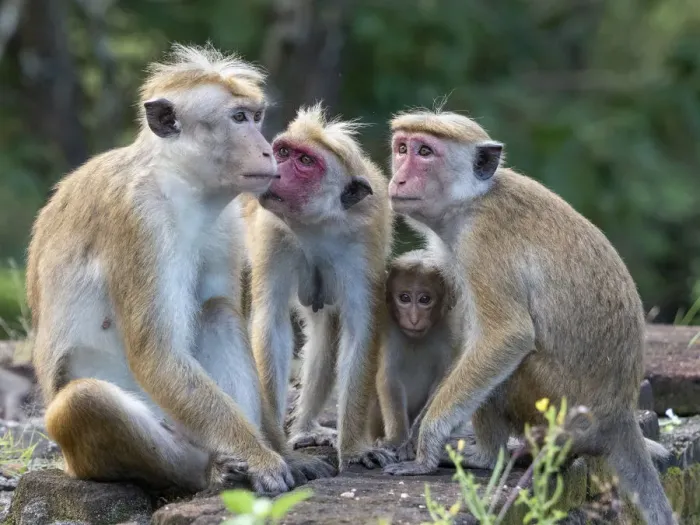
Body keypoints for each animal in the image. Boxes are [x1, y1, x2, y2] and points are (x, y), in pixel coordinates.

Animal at [25, 43, 333, 495]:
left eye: (255, 116)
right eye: (237, 118)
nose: (266, 149)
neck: (180, 183)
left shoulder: (226, 225)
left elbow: (220, 308)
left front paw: (281, 452)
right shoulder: (139, 220)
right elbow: (156, 352)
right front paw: (261, 457)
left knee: (219, 313)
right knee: (84, 402)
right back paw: (209, 470)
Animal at [240, 103, 397, 469]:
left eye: (305, 161)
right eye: (283, 152)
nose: (274, 167)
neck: (314, 225)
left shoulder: (363, 240)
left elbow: (359, 330)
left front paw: (354, 448)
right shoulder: (273, 233)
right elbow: (271, 325)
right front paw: (274, 445)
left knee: (328, 332)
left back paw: (306, 428)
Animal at [368, 250, 459, 453]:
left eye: (425, 299)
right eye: (404, 298)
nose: (414, 319)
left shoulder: (449, 333)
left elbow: (443, 382)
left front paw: (417, 438)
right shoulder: (390, 329)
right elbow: (389, 378)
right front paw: (396, 439)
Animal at [380, 109, 677, 525]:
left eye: (425, 152)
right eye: (402, 147)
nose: (399, 178)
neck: (473, 200)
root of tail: (619, 415)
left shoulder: (481, 243)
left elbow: (506, 337)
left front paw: (425, 448)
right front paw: (415, 434)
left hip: (557, 407)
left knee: (507, 369)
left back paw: (488, 458)